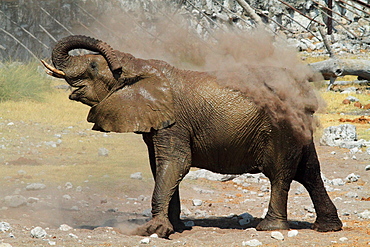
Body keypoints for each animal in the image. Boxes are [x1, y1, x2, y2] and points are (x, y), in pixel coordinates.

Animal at [42, 34, 342, 237]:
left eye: (93, 66)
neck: (138, 65)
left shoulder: (175, 123)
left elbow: (175, 163)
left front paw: (152, 230)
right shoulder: (158, 123)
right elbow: (159, 167)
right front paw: (174, 227)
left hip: (281, 128)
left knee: (281, 173)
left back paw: (268, 228)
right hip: (297, 129)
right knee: (310, 172)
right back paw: (328, 228)